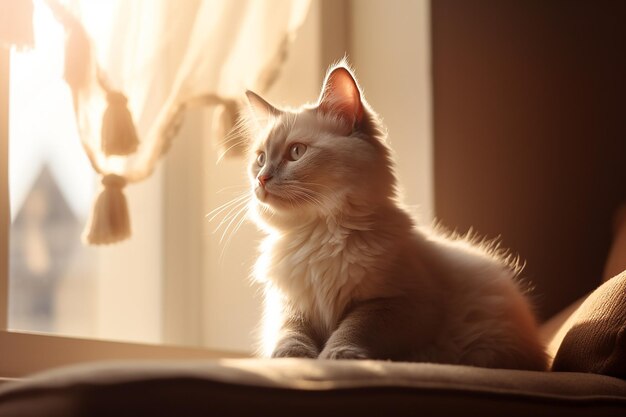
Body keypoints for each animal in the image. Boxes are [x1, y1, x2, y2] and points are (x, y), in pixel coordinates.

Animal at [241, 60, 544, 368]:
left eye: (296, 152)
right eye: (261, 159)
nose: (261, 179)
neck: (316, 234)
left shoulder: (397, 303)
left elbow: (353, 328)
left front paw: (338, 356)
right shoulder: (291, 306)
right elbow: (291, 334)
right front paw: (291, 358)